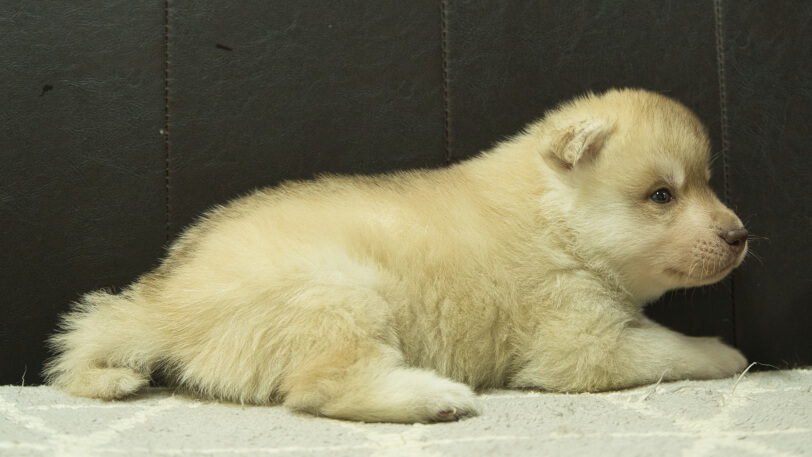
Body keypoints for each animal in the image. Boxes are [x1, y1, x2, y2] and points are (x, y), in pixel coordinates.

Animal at [46, 89, 748, 424]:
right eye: (662, 195)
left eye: (708, 183)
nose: (740, 234)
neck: (557, 220)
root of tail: (161, 306)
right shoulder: (581, 342)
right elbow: (667, 347)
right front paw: (726, 353)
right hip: (337, 296)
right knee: (318, 389)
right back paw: (434, 396)